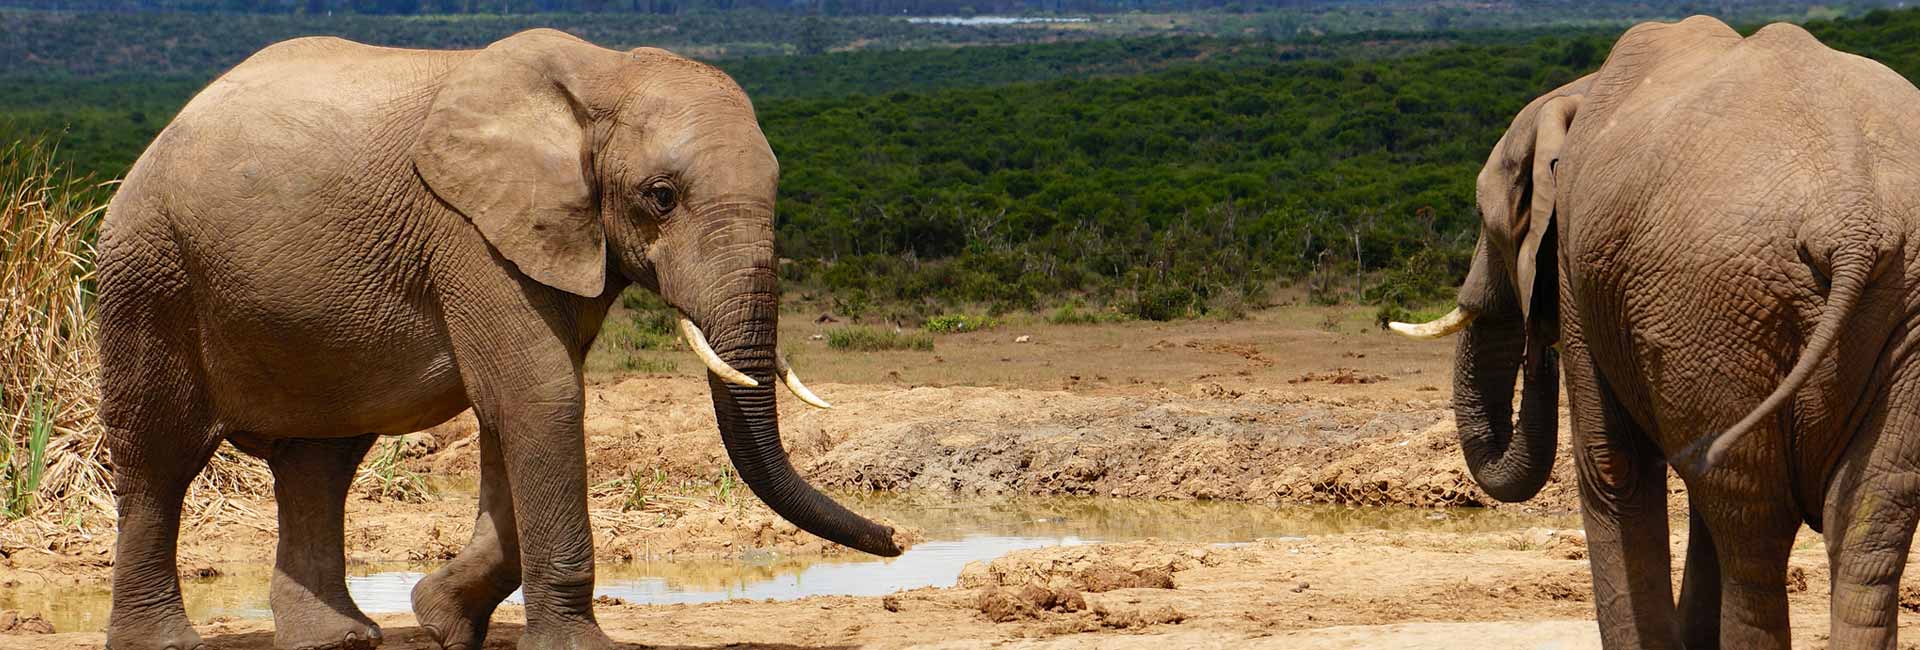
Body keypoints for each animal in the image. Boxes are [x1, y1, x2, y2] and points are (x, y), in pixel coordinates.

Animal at [95, 29, 905, 650]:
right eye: (661, 198)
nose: (898, 538)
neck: (601, 75)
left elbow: (510, 411)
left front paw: (442, 619)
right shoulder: (469, 231)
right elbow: (540, 397)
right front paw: (571, 647)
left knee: (319, 461)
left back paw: (339, 640)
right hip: (151, 268)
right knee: (160, 455)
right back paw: (167, 642)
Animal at [1389, 16, 1920, 649]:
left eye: (1484, 214)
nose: (1537, 347)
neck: (1577, 90)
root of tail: (1851, 218)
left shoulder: (1580, 264)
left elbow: (1612, 466)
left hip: (1715, 299)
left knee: (1752, 523)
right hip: (1875, 311)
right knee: (1869, 518)